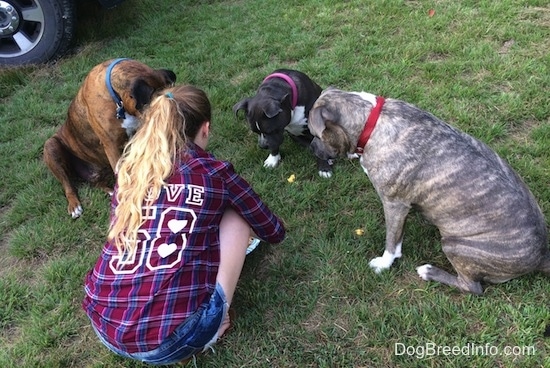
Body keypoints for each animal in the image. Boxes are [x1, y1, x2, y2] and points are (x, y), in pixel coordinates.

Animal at [43, 58, 177, 218]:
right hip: (51, 146)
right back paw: (75, 205)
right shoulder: (111, 145)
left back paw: (110, 190)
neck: (117, 100)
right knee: (67, 184)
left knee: (96, 182)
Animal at [308, 87, 550, 294]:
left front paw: (384, 264)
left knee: (473, 287)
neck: (371, 121)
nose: (311, 146)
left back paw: (430, 272)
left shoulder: (394, 204)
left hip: (455, 244)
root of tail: (542, 255)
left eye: (316, 134)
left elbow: (391, 240)